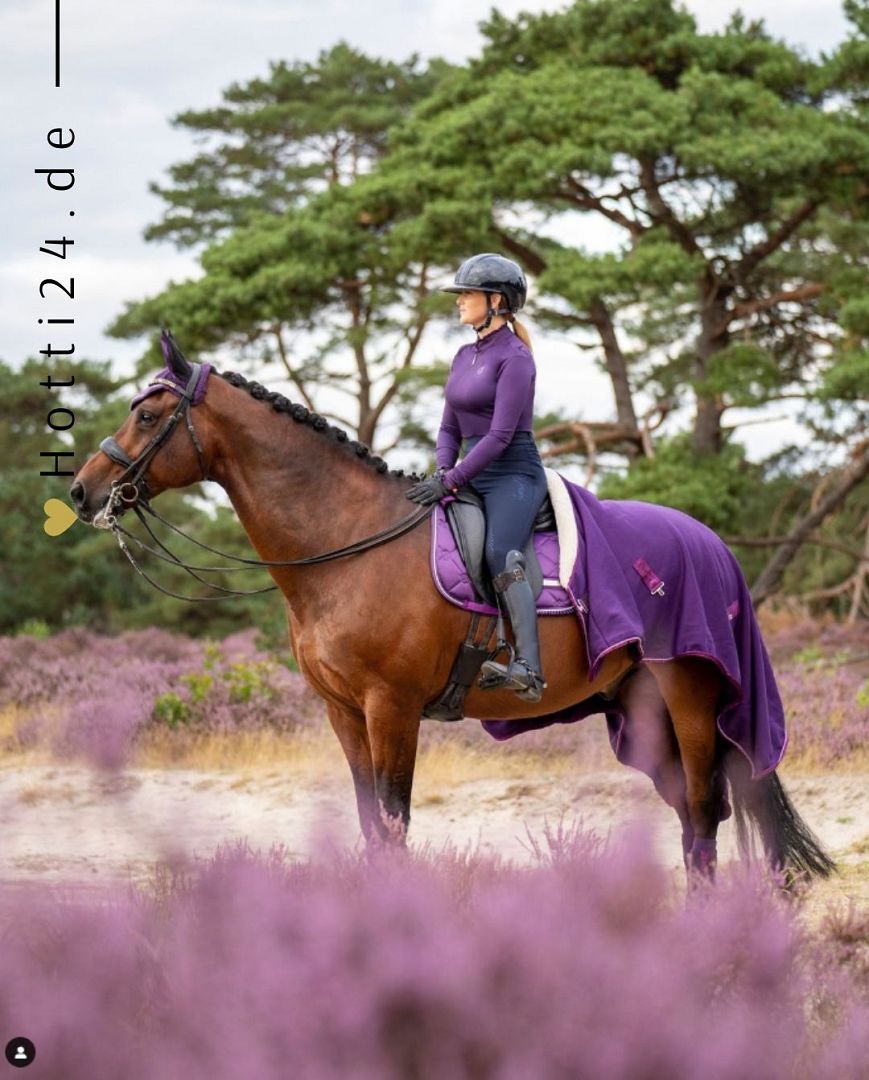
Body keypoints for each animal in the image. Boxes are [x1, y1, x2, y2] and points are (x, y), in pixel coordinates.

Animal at [72, 343, 833, 885]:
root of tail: (710, 545)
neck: (347, 540)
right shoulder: (343, 711)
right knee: (690, 818)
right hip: (643, 713)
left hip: (690, 700)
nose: (83, 492)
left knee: (704, 812)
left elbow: (392, 821)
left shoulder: (391, 707)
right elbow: (369, 823)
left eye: (146, 415)